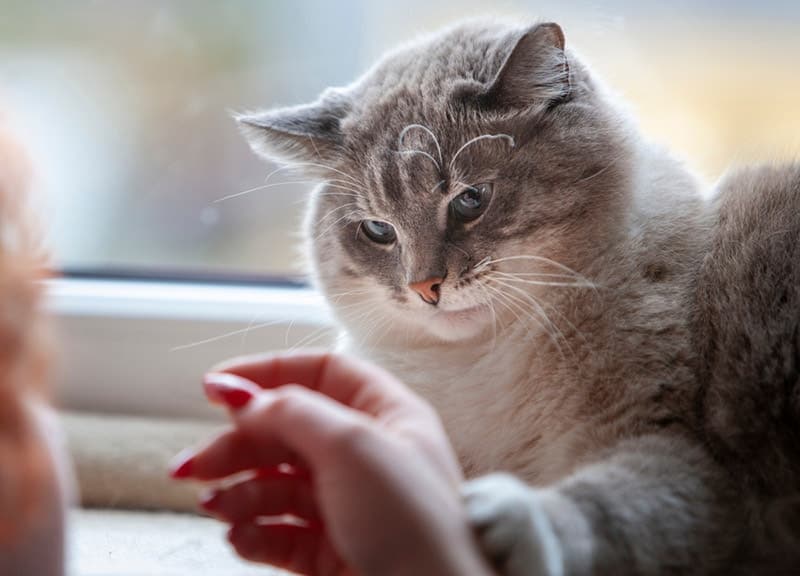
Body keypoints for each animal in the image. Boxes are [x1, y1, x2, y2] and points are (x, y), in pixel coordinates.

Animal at [238, 19, 800, 576]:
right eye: (378, 230)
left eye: (470, 200)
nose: (425, 289)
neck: (484, 358)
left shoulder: (679, 457)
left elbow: (596, 511)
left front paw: (508, 517)